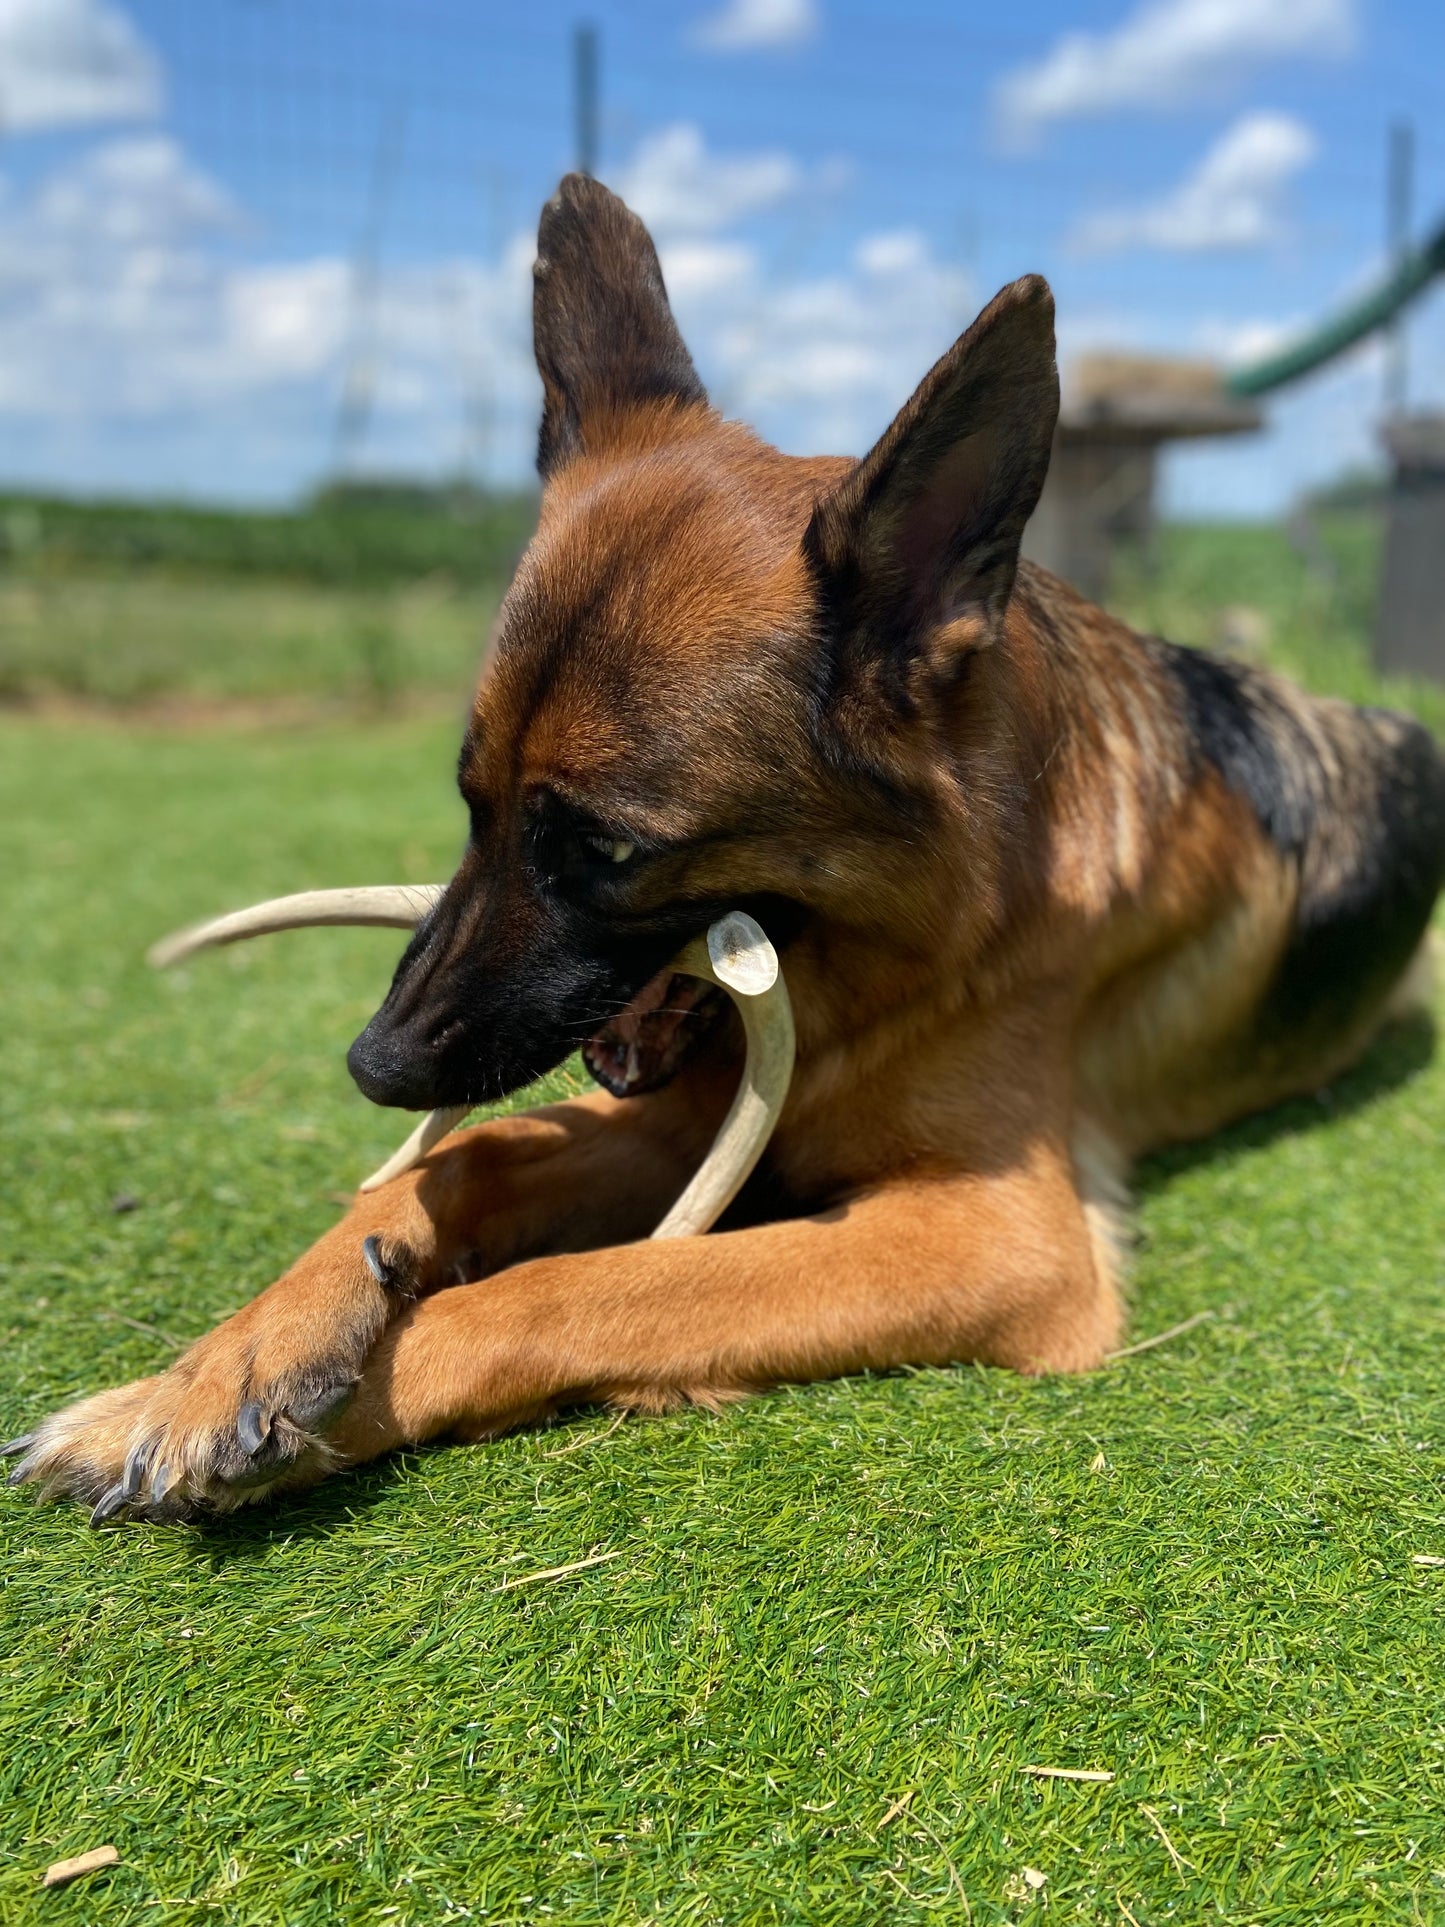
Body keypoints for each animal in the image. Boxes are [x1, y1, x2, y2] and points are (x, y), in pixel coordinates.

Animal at [11, 177, 1445, 1518]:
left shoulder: (997, 1236)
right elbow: (465, 1161)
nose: (375, 1065)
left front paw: (364, 1384)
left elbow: (594, 1281)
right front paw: (208, 1374)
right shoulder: (676, 1105)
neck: (926, 940)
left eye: (603, 847)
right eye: (471, 802)